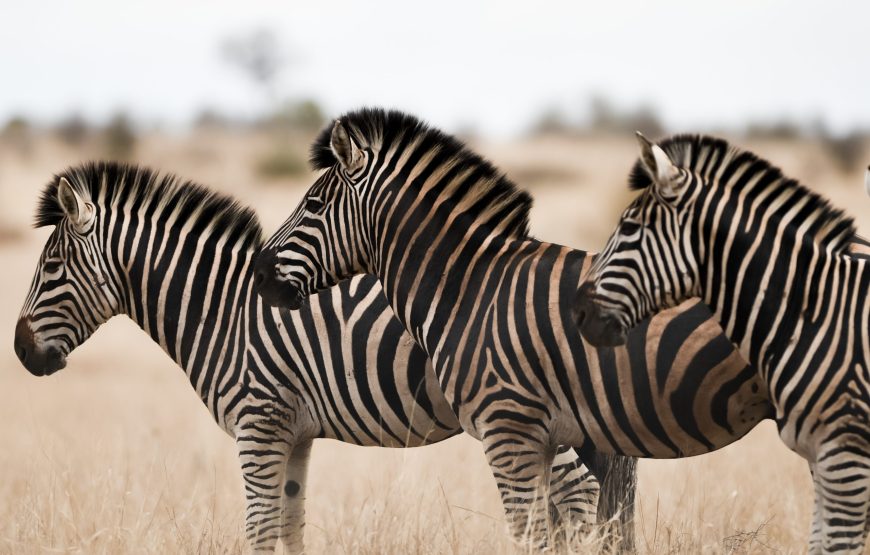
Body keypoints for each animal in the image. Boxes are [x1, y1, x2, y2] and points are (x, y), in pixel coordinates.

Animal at [13, 163, 612, 552]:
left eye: (52, 267)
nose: (20, 351)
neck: (222, 310)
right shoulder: (294, 433)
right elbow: (290, 528)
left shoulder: (257, 425)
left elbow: (259, 531)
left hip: (524, 408)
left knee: (578, 492)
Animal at [252, 109, 776, 548]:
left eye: (314, 204)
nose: (258, 274)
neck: (471, 289)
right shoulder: (555, 437)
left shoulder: (510, 432)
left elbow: (535, 537)